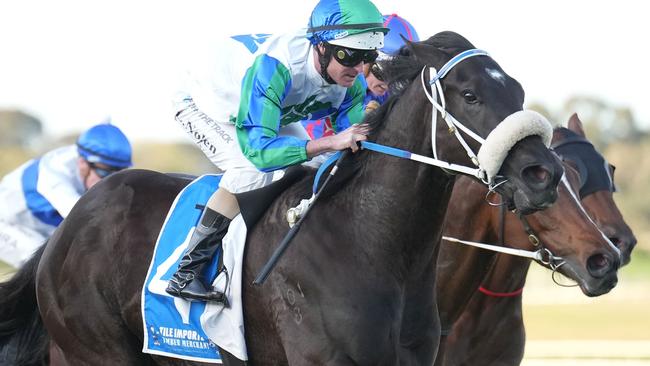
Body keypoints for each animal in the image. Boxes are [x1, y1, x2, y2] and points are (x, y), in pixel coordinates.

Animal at [1, 32, 560, 366]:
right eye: (470, 95)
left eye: (518, 91)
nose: (544, 175)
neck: (373, 244)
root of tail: (70, 226)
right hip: (95, 350)